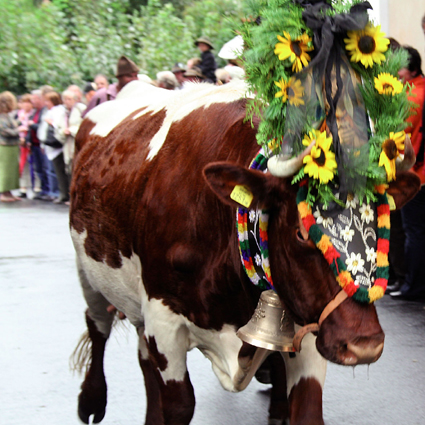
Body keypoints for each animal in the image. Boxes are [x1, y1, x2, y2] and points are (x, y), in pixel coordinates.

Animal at [71, 79, 420, 424]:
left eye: (380, 226)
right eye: (301, 232)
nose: (364, 345)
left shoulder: (305, 322)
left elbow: (307, 409)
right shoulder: (162, 320)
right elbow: (180, 405)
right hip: (87, 271)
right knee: (97, 325)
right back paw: (90, 399)